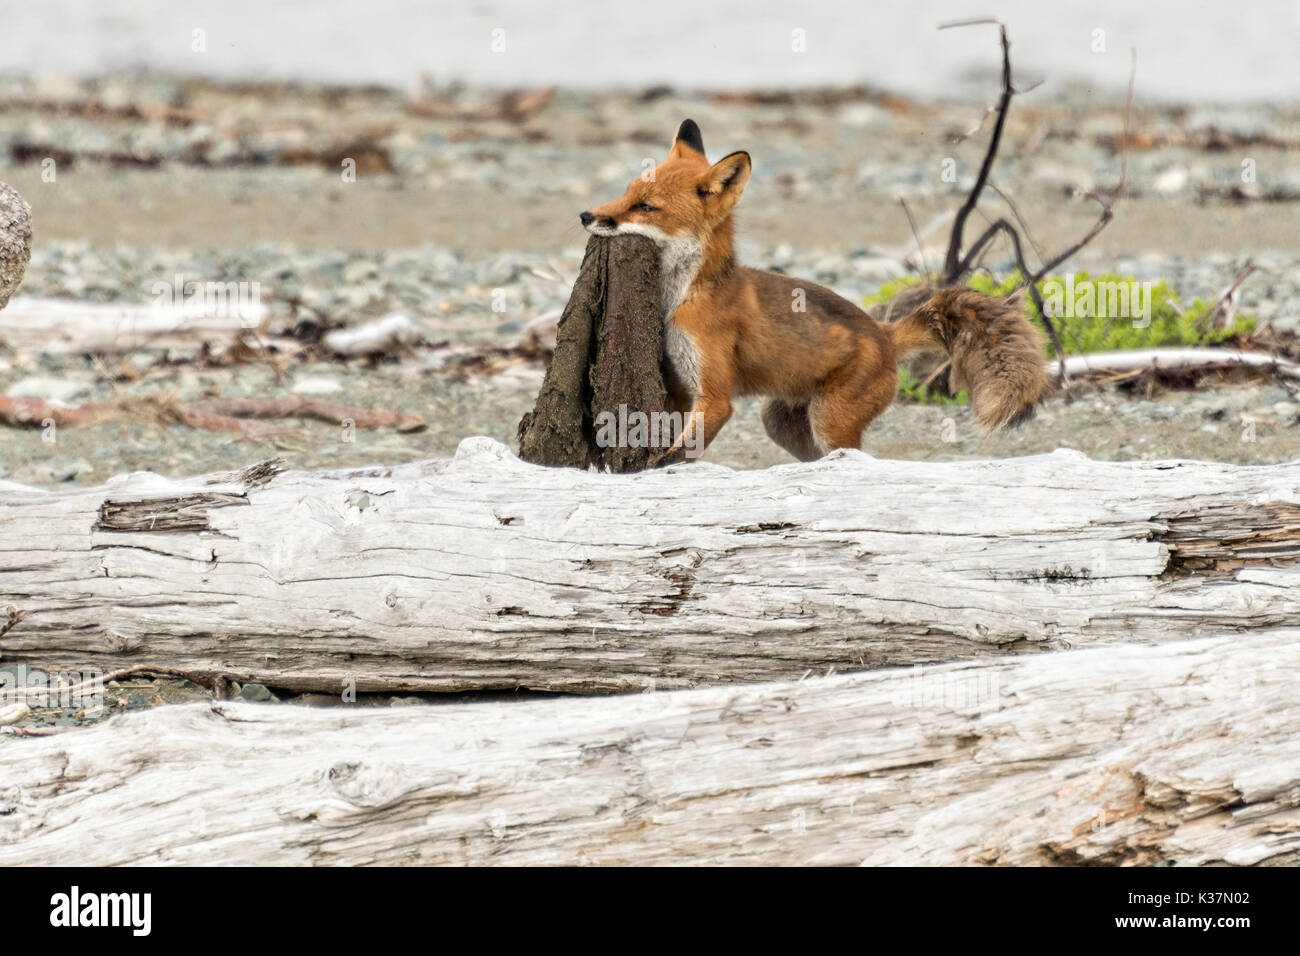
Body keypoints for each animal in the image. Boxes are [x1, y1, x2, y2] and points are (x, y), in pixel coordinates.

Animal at [585, 119, 1050, 463]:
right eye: (626, 193)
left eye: (646, 207)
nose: (586, 216)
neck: (680, 298)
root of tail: (885, 332)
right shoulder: (680, 387)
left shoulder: (714, 397)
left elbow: (677, 455)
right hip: (784, 423)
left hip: (830, 421)